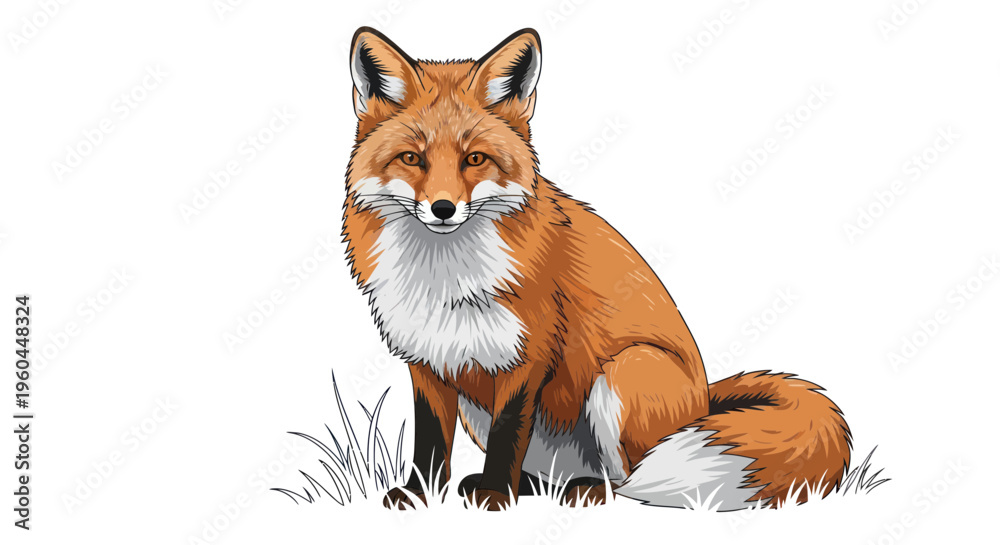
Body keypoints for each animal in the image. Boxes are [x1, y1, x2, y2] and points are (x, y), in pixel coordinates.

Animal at [342, 27, 852, 511]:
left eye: (475, 159)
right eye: (412, 158)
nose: (443, 209)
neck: (445, 278)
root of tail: (704, 402)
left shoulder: (529, 355)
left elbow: (509, 434)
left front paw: (495, 499)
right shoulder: (427, 359)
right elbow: (429, 444)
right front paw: (420, 498)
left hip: (626, 372)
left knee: (627, 482)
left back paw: (581, 490)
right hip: (481, 409)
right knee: (554, 476)